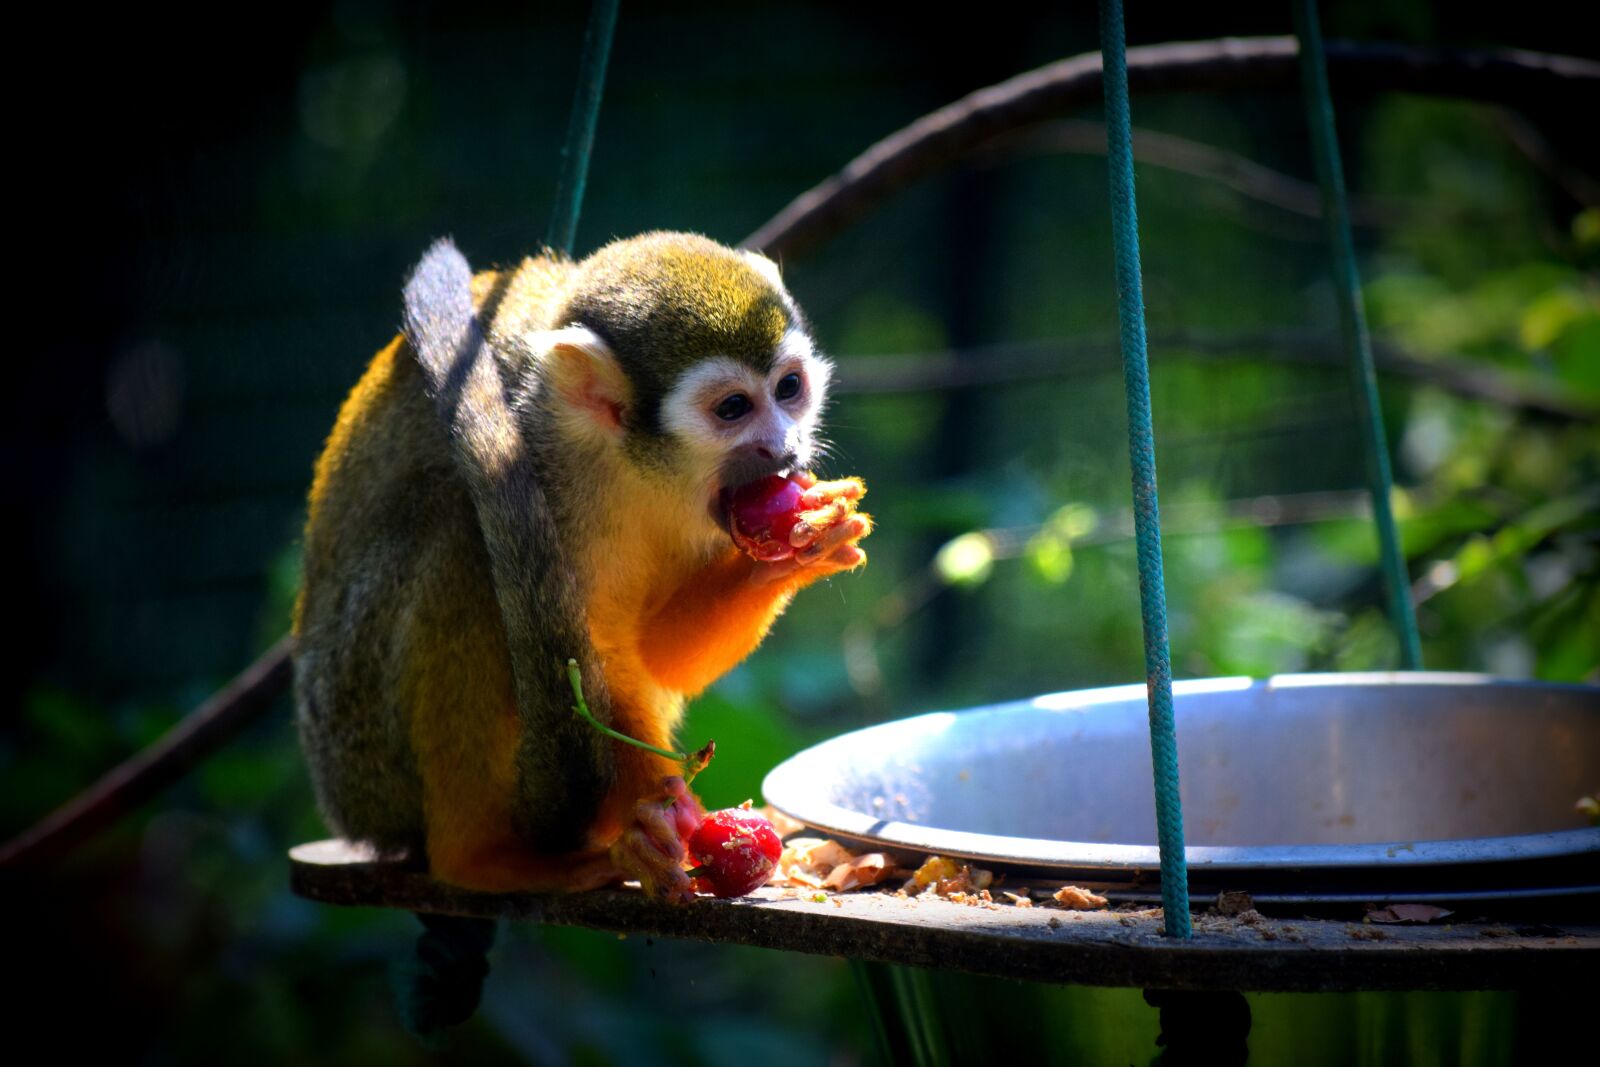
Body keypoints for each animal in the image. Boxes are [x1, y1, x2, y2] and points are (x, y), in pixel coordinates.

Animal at [291, 231, 870, 900]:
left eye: (788, 389)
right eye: (733, 408)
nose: (784, 449)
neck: (636, 465)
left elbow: (659, 654)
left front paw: (799, 551)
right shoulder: (539, 451)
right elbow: (602, 655)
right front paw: (656, 820)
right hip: (360, 745)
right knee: (460, 539)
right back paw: (481, 857)